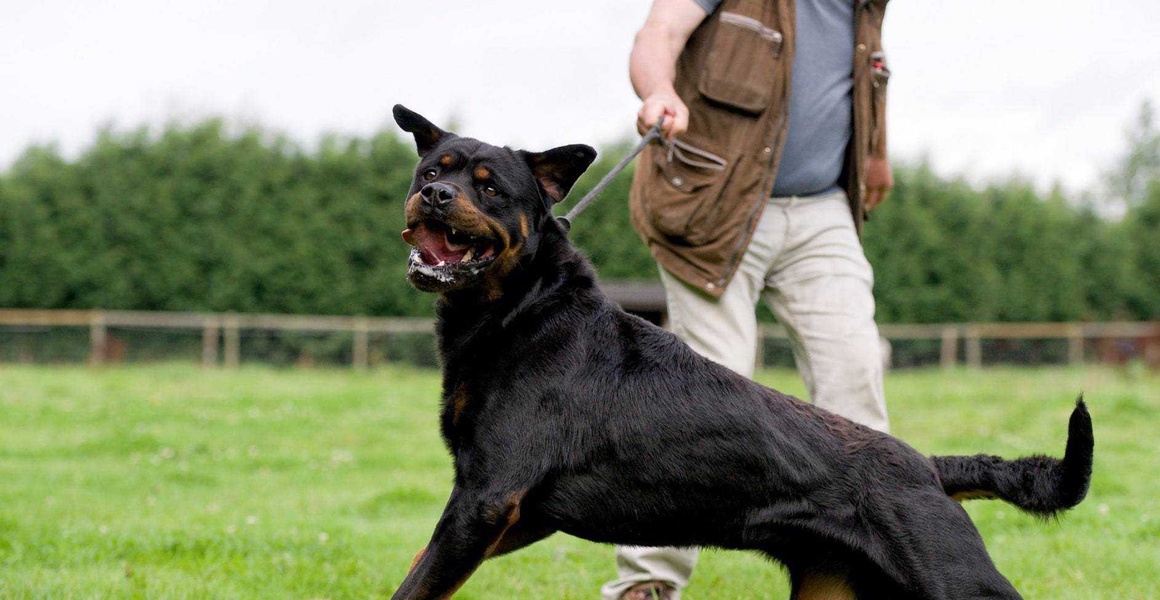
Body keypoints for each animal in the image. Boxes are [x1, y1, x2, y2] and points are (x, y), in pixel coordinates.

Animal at [392, 105, 1095, 594]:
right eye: (431, 172)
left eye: (490, 189)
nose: (435, 195)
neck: (522, 308)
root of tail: (928, 467)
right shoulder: (517, 513)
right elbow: (421, 564)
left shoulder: (487, 497)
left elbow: (417, 585)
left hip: (955, 579)